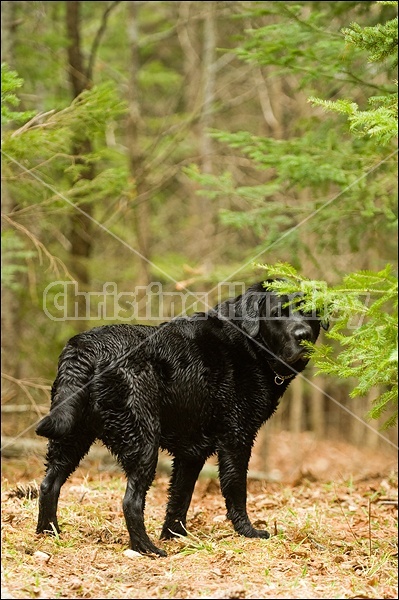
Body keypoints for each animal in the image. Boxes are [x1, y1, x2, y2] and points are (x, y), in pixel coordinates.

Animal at [36, 284, 326, 556]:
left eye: (310, 312)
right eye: (278, 313)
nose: (303, 335)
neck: (252, 347)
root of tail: (86, 347)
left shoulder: (192, 452)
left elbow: (179, 497)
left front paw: (176, 536)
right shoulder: (237, 437)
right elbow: (236, 489)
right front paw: (248, 532)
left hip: (71, 436)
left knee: (49, 484)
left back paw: (48, 534)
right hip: (143, 443)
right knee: (131, 501)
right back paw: (147, 549)